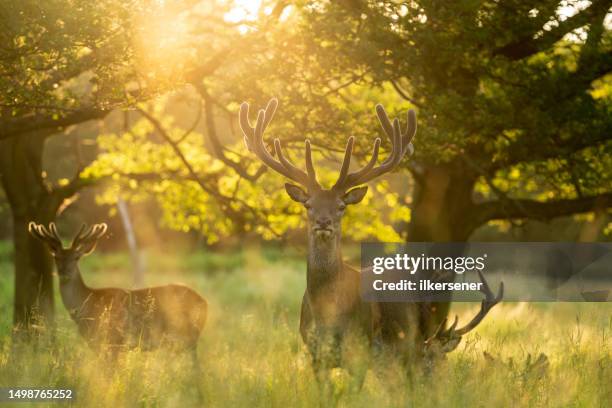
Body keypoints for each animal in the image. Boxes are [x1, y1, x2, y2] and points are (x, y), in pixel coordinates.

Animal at [27, 220, 208, 354]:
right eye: (56, 257)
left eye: (77, 257)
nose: (64, 271)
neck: (87, 307)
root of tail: (205, 303)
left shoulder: (113, 340)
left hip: (187, 335)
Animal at [239, 98, 502, 372]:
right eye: (308, 205)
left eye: (341, 206)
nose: (323, 222)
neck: (328, 315)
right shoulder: (314, 352)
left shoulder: (360, 348)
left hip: (412, 344)